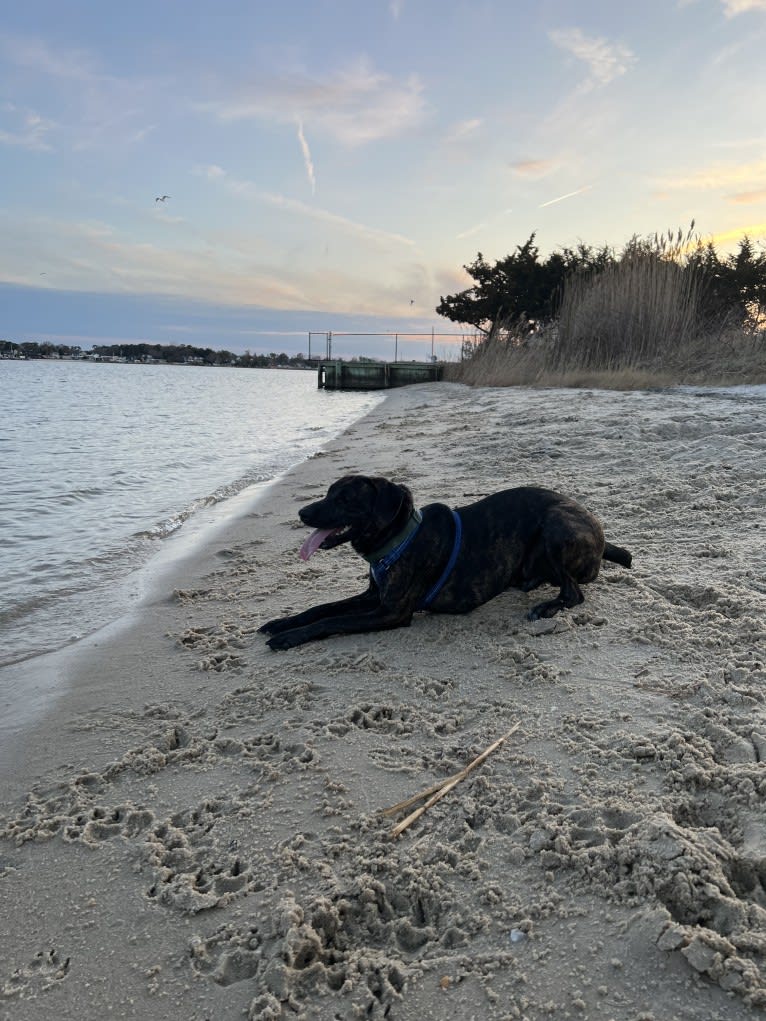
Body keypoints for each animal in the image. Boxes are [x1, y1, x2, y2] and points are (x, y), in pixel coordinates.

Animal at [261, 473, 633, 649]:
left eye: (345, 499)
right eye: (328, 493)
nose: (302, 513)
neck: (398, 536)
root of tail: (600, 534)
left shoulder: (390, 612)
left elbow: (332, 621)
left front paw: (289, 637)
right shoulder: (373, 596)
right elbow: (322, 608)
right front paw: (283, 623)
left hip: (557, 525)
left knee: (574, 593)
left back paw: (546, 607)